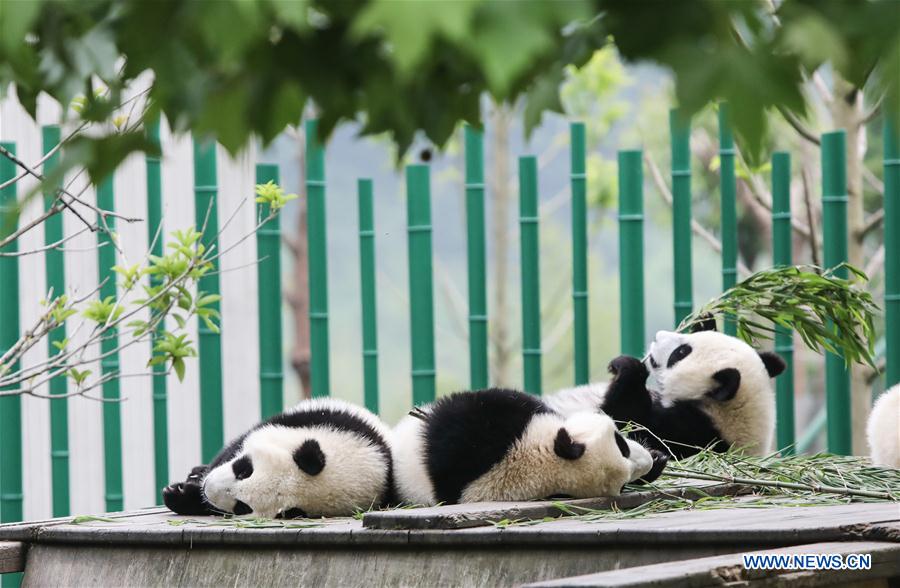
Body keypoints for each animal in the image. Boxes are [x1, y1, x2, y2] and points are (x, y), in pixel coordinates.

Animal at [163, 398, 394, 516]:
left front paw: (181, 495)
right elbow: (234, 447)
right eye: (244, 470)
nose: (208, 489)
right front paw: (189, 484)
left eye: (243, 507)